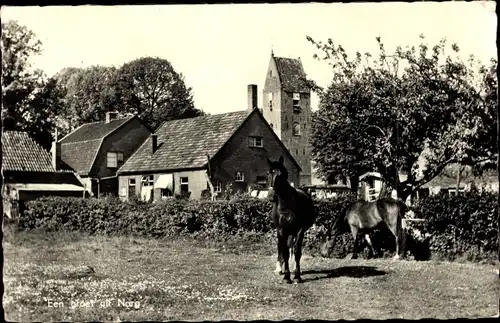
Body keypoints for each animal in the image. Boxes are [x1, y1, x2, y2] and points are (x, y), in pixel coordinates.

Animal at [266, 156, 316, 284]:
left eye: (281, 174)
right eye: (268, 173)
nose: (271, 196)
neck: (286, 205)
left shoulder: (300, 230)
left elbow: (297, 252)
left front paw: (297, 276)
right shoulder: (281, 230)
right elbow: (284, 251)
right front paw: (286, 277)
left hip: (293, 232)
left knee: (292, 248)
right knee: (282, 247)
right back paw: (279, 269)